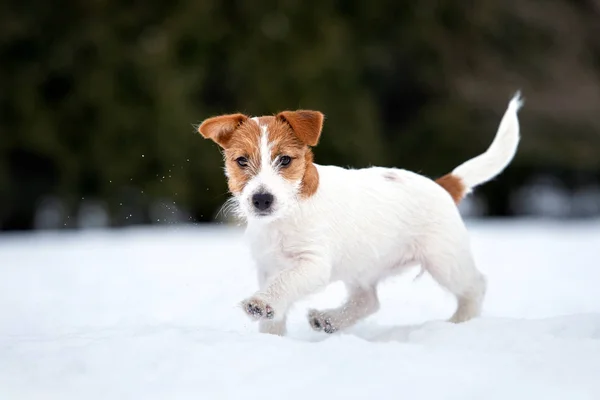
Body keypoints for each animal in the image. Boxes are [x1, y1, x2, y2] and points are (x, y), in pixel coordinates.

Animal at [199, 92, 524, 336]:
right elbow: (277, 303)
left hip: (445, 259)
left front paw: (261, 304)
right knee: (368, 301)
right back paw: (329, 320)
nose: (262, 199)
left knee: (475, 286)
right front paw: (271, 336)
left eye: (285, 160)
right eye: (241, 161)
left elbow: (285, 283)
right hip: (363, 266)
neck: (284, 218)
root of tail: (442, 184)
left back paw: (460, 323)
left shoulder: (313, 263)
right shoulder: (267, 265)